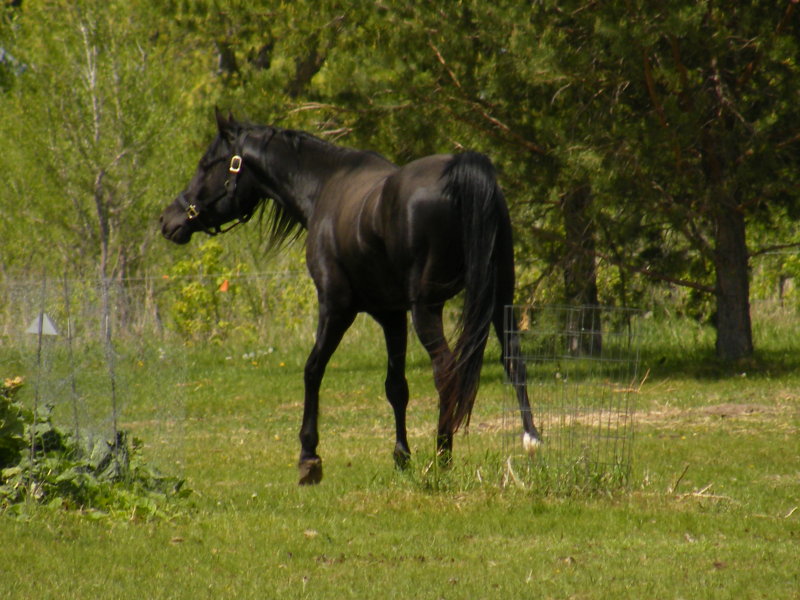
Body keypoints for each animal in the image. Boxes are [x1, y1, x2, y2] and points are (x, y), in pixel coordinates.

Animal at [160, 110, 540, 486]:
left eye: (208, 164)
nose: (168, 220)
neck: (324, 186)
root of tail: (462, 175)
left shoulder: (335, 308)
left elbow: (313, 370)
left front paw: (309, 457)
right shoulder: (392, 316)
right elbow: (396, 386)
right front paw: (401, 455)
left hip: (428, 309)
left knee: (447, 371)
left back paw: (442, 457)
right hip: (498, 298)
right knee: (513, 360)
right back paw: (531, 440)